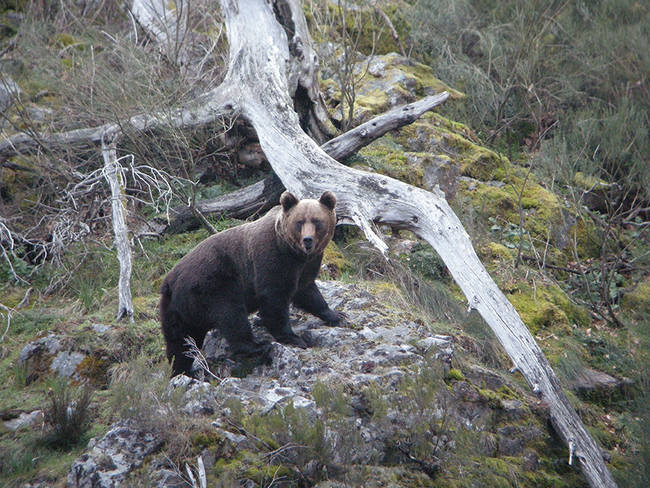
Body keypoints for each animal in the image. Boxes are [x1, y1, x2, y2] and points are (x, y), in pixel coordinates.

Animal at [159, 189, 342, 376]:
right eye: (299, 222)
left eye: (317, 221)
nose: (307, 240)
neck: (294, 253)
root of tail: (170, 281)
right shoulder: (272, 259)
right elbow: (274, 298)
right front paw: (293, 337)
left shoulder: (305, 267)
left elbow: (307, 291)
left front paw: (336, 315)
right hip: (212, 285)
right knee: (231, 315)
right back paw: (258, 346)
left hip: (176, 309)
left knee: (180, 341)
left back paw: (183, 370)